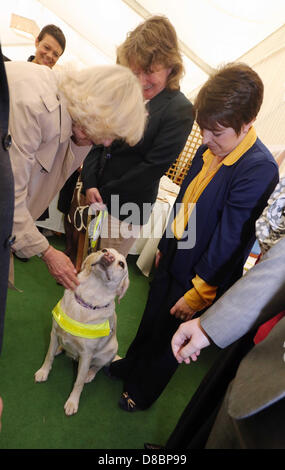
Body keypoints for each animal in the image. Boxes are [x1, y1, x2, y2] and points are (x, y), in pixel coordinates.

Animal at [34, 248, 129, 416]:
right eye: (104, 250)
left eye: (122, 264)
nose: (108, 256)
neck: (87, 300)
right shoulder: (53, 333)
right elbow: (48, 356)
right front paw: (43, 372)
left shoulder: (86, 355)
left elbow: (78, 383)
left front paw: (72, 402)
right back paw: (60, 349)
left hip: (111, 349)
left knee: (98, 366)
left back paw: (90, 375)